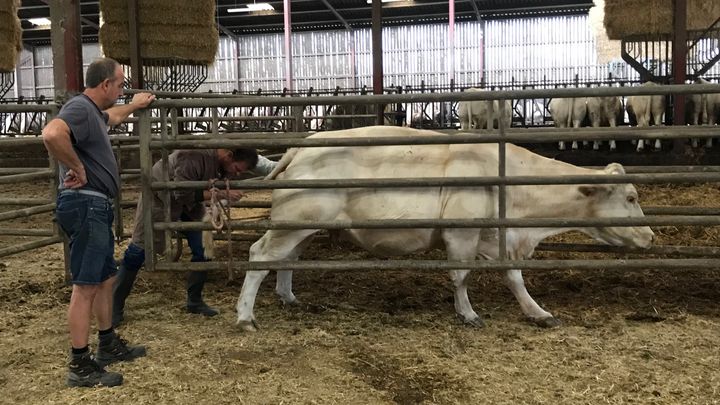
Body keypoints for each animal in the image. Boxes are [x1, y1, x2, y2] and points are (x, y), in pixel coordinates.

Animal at [233, 125, 656, 332]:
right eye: (631, 197)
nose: (651, 237)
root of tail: (301, 148)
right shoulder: (461, 233)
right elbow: (460, 276)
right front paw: (468, 315)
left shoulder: (498, 236)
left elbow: (514, 278)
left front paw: (538, 313)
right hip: (294, 221)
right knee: (259, 255)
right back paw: (245, 317)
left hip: (304, 225)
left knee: (287, 259)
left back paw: (288, 297)